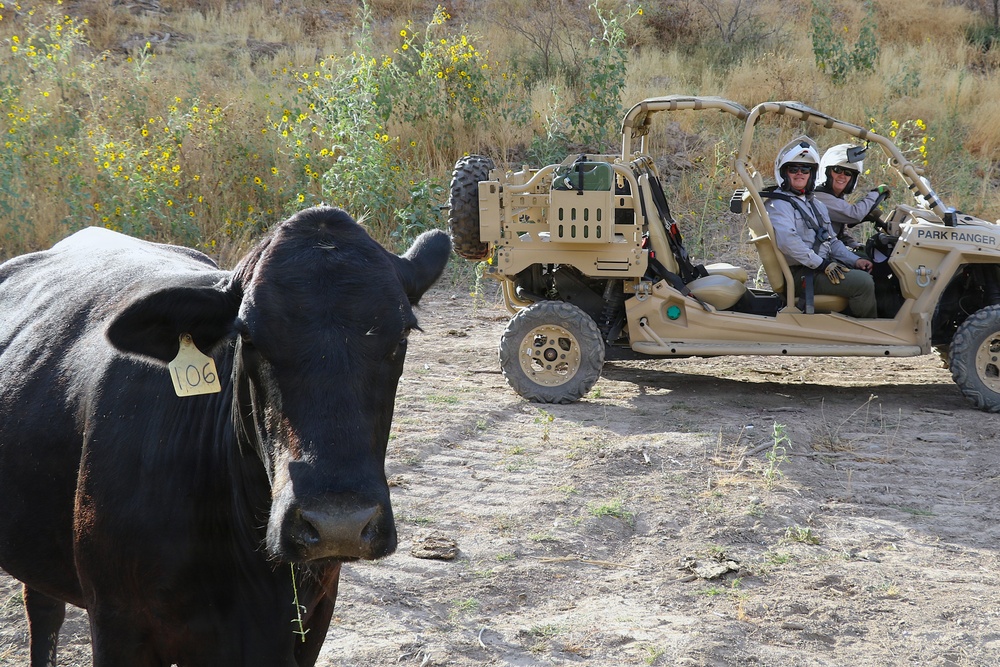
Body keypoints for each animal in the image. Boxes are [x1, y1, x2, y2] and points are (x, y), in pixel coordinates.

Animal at [0, 205, 451, 666]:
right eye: (247, 336)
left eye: (403, 334)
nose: (338, 524)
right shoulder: (116, 623)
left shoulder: (312, 620)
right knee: (44, 612)